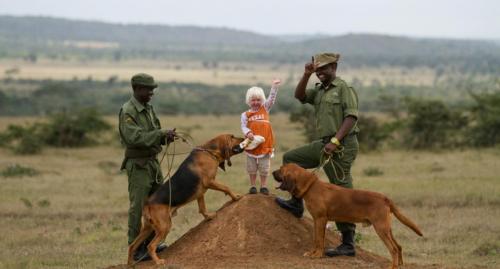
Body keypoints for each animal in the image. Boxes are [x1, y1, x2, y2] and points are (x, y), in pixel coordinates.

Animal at [128, 134, 245, 264]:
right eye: (232, 137)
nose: (243, 138)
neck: (209, 152)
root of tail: (147, 203)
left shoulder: (201, 192)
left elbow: (202, 208)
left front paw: (209, 216)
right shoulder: (210, 182)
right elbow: (226, 187)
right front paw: (236, 197)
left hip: (148, 228)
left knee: (132, 246)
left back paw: (130, 264)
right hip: (164, 226)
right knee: (150, 246)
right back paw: (158, 262)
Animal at [274, 162, 422, 266]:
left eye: (281, 169)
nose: (272, 172)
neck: (311, 187)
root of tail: (385, 198)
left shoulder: (321, 219)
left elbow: (319, 240)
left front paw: (317, 255)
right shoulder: (317, 220)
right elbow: (316, 239)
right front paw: (312, 253)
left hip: (381, 229)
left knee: (394, 249)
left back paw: (393, 266)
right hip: (387, 229)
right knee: (399, 246)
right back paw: (400, 265)